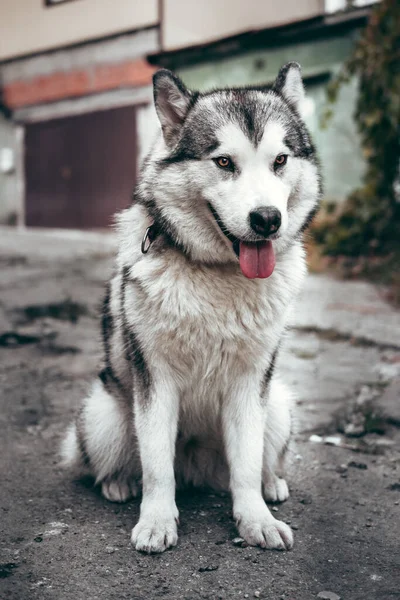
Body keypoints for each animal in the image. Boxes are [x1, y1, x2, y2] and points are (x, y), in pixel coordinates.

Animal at [61, 62, 322, 552]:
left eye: (279, 161)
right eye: (223, 162)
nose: (267, 220)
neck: (218, 275)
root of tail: (197, 469)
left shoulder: (249, 383)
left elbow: (246, 464)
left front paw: (255, 520)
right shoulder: (156, 380)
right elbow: (157, 466)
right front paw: (157, 521)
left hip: (277, 403)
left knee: (260, 461)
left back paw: (272, 484)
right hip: (103, 414)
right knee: (111, 463)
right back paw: (118, 483)